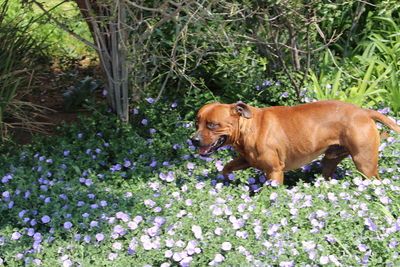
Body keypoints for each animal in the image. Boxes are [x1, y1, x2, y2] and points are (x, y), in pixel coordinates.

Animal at [191, 100, 400, 184]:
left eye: (212, 125)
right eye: (196, 122)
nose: (193, 140)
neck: (249, 127)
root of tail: (364, 112)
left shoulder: (274, 172)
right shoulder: (245, 160)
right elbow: (226, 168)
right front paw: (228, 182)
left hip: (365, 164)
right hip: (330, 160)